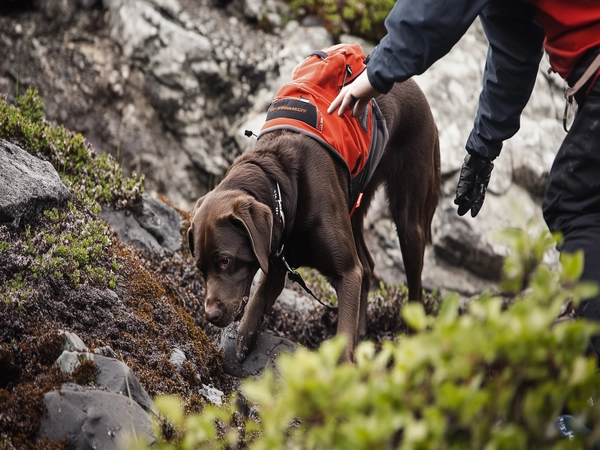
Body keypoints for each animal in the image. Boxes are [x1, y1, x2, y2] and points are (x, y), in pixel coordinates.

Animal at [188, 80, 440, 362]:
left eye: (225, 261)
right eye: (200, 268)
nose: (210, 316)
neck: (281, 185)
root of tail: (415, 87)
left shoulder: (346, 273)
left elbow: (343, 339)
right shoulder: (276, 261)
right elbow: (256, 305)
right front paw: (243, 342)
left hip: (409, 219)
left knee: (413, 289)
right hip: (354, 205)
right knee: (367, 264)